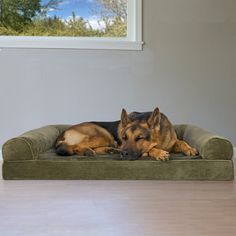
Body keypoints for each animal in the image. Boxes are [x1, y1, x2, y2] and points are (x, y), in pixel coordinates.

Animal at [55, 108, 197, 161]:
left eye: (139, 138)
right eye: (124, 138)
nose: (123, 153)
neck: (159, 140)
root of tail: (62, 134)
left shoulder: (172, 143)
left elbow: (181, 141)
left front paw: (189, 148)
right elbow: (150, 149)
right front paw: (158, 152)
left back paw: (109, 150)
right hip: (102, 134)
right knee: (72, 146)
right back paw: (87, 151)